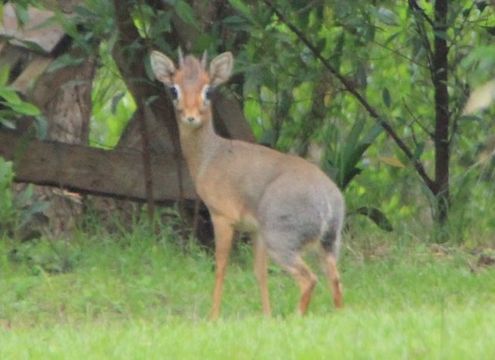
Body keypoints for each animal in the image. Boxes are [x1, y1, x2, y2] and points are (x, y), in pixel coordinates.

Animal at [151, 50, 344, 318]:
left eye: (208, 90)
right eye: (174, 89)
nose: (191, 116)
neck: (209, 156)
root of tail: (329, 200)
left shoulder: (222, 216)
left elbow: (221, 266)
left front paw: (213, 317)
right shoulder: (256, 230)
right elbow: (260, 272)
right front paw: (267, 316)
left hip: (282, 240)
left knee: (310, 279)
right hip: (328, 244)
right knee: (335, 280)